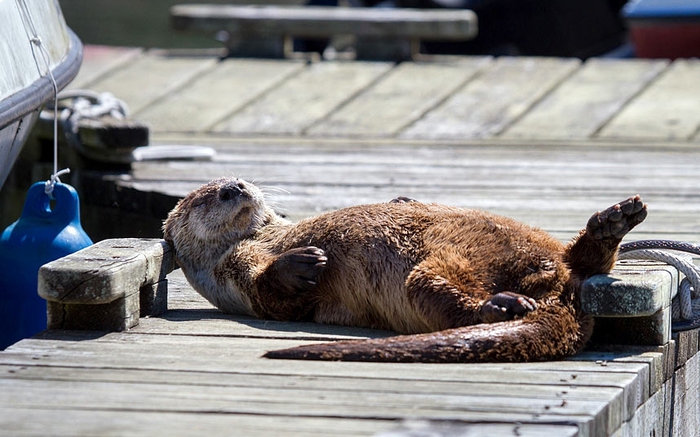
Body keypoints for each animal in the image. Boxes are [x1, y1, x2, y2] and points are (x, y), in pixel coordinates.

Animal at [163, 176, 644, 362]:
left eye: (240, 180)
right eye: (205, 196)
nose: (235, 186)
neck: (267, 236)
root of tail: (562, 295)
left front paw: (403, 199)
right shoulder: (236, 273)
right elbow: (270, 294)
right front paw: (302, 262)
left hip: (535, 244)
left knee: (579, 261)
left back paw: (613, 222)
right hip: (431, 270)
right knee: (444, 295)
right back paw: (504, 306)